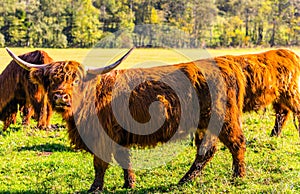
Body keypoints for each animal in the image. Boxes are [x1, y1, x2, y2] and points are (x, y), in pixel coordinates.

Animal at [6, 47, 300, 192]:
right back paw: (184, 181)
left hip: (224, 119)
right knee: (206, 151)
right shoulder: (119, 135)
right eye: (52, 79)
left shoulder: (102, 135)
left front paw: (95, 188)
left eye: (75, 80)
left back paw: (238, 177)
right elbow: (124, 159)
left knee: (237, 144)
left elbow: (99, 164)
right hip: (205, 123)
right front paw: (129, 184)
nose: (60, 97)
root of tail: (228, 64)